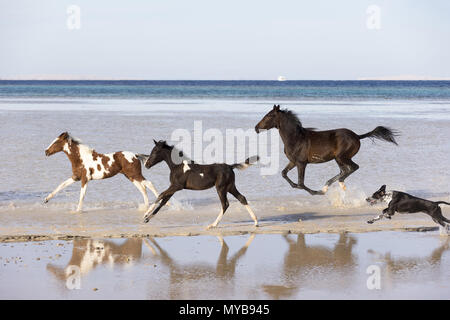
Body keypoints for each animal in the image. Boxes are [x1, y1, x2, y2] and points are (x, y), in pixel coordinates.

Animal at [255, 105, 400, 195]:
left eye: (269, 115)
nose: (256, 127)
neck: (295, 138)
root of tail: (357, 136)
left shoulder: (301, 163)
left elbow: (301, 183)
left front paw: (315, 192)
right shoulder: (293, 162)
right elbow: (284, 174)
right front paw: (298, 186)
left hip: (342, 157)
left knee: (352, 168)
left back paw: (329, 187)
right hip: (338, 158)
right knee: (344, 171)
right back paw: (333, 185)